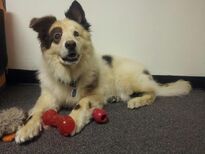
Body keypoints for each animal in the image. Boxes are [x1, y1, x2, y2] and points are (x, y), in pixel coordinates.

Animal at [14, 0, 192, 143]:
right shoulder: (48, 97)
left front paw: (73, 120)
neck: (70, 74)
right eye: (57, 36)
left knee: (153, 93)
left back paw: (137, 101)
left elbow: (80, 104)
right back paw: (115, 98)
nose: (70, 44)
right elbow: (36, 111)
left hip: (129, 79)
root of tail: (146, 72)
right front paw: (26, 128)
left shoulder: (94, 95)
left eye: (76, 34)